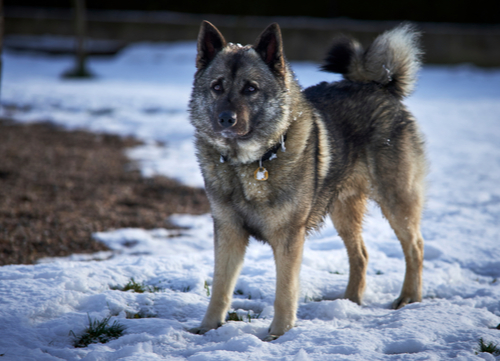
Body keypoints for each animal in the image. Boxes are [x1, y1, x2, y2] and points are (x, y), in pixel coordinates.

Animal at [188, 21, 426, 338]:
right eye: (217, 87)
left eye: (251, 89)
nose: (226, 119)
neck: (250, 163)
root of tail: (378, 86)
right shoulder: (228, 231)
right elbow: (220, 287)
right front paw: (208, 328)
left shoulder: (289, 237)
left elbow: (285, 291)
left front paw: (279, 333)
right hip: (343, 210)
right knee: (361, 254)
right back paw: (349, 301)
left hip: (397, 201)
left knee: (415, 248)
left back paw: (409, 298)